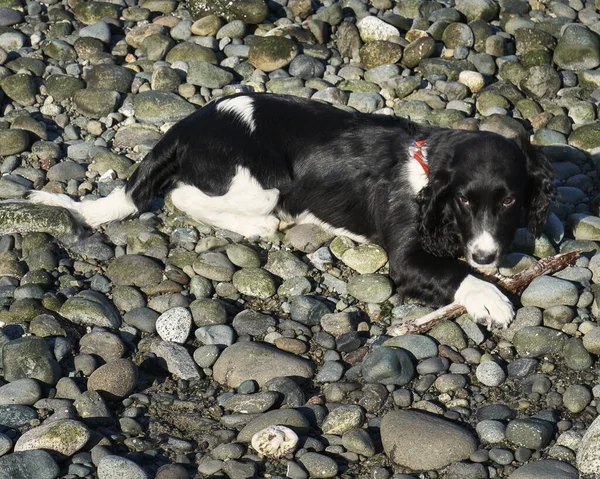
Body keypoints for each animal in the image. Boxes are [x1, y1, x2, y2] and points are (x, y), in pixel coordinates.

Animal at [28, 93, 552, 330]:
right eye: (463, 200)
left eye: (509, 201)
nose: (485, 256)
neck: (426, 168)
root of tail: (183, 127)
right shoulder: (407, 258)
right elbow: (451, 274)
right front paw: (491, 297)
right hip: (263, 184)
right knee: (182, 197)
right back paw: (263, 225)